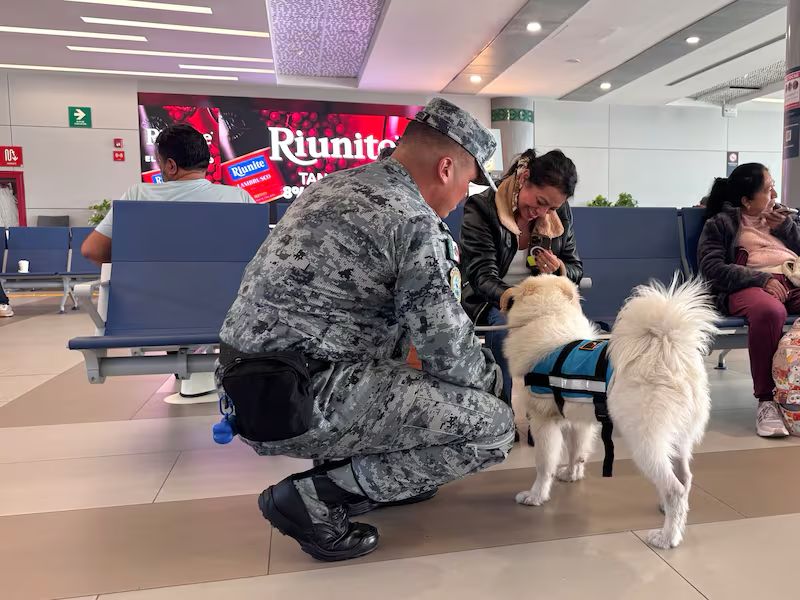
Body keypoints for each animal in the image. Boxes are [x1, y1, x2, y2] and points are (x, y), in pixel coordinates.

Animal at [504, 274, 717, 549]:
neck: (549, 316)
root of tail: (669, 352)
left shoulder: (543, 422)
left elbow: (544, 463)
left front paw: (535, 495)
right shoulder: (579, 421)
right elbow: (576, 451)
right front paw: (571, 474)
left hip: (645, 442)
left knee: (675, 489)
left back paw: (667, 537)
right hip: (678, 439)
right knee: (684, 478)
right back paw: (668, 512)